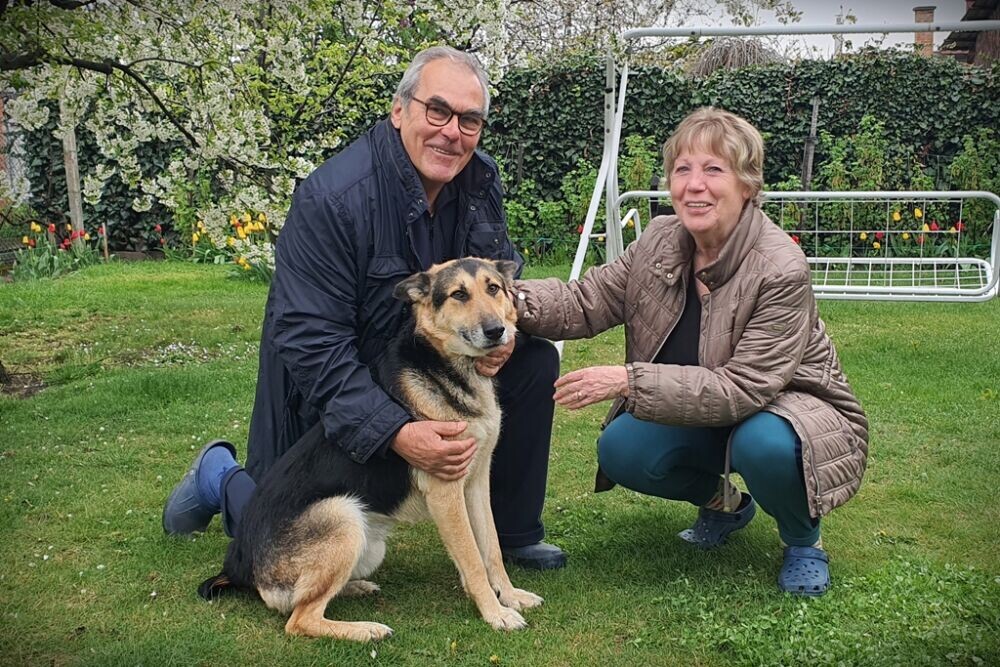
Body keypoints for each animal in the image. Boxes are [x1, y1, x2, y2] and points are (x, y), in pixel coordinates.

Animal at [198, 257, 543, 640]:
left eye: (493, 288)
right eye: (458, 294)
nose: (497, 331)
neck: (444, 366)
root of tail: (240, 564)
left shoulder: (476, 483)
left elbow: (491, 548)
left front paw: (509, 596)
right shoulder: (446, 491)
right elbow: (471, 556)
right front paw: (494, 612)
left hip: (367, 543)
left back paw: (354, 587)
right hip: (343, 515)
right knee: (300, 619)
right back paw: (366, 630)